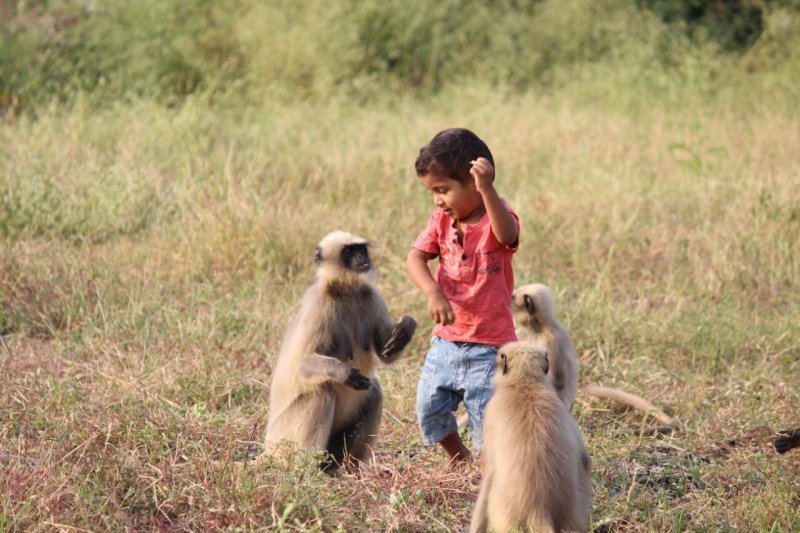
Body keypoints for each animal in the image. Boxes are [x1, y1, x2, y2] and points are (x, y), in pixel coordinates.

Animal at [268, 231, 418, 472]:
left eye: (361, 249)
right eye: (348, 252)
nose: (361, 257)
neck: (345, 289)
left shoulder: (371, 295)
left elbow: (386, 354)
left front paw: (405, 329)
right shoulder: (318, 306)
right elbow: (302, 365)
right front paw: (342, 372)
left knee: (374, 391)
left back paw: (348, 469)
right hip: (282, 440)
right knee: (321, 392)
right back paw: (308, 469)